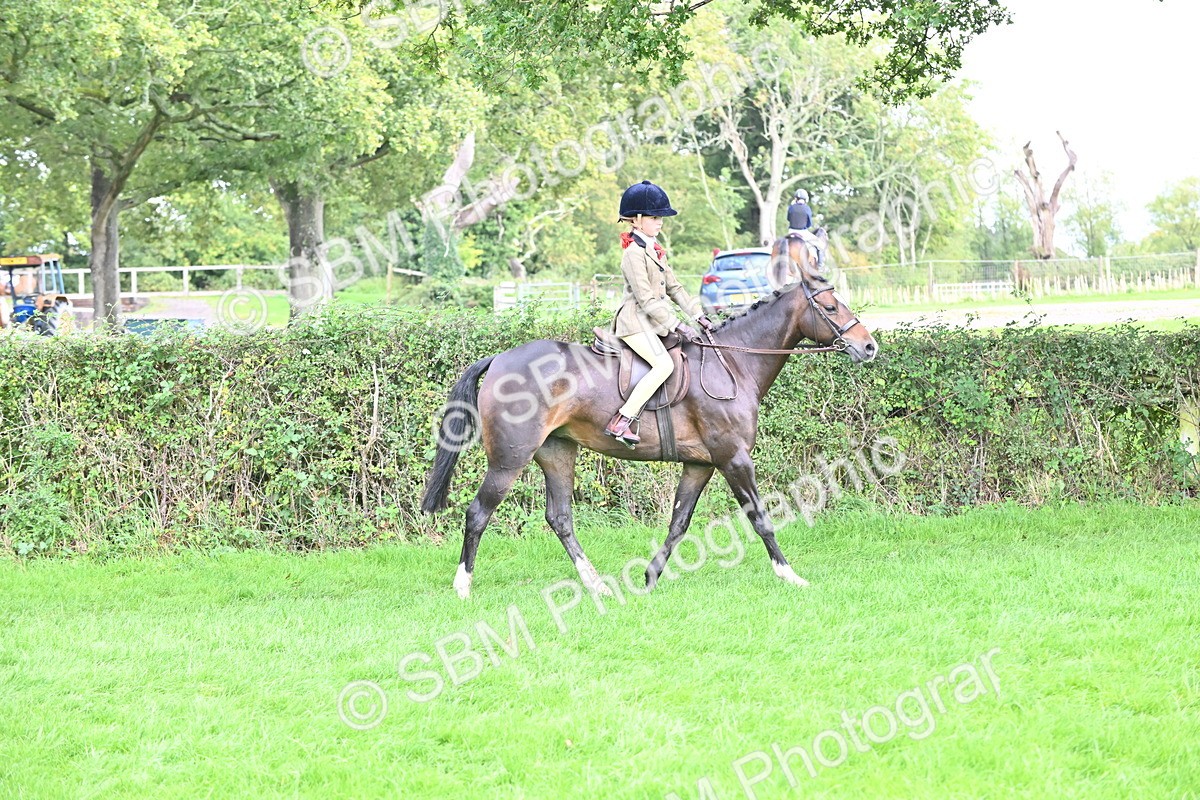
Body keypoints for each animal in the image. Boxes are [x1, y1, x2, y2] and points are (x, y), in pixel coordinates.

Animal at [421, 237, 878, 598]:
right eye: (831, 305)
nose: (869, 346)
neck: (732, 363)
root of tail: (499, 358)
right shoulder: (733, 458)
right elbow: (760, 517)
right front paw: (789, 575)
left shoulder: (700, 463)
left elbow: (679, 522)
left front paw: (650, 577)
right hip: (509, 458)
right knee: (478, 514)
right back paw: (463, 587)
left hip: (556, 451)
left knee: (560, 518)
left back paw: (596, 585)